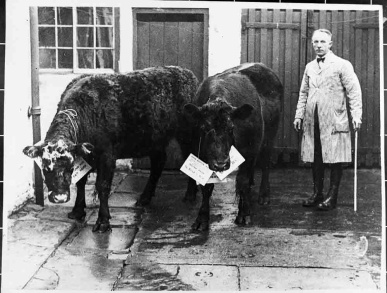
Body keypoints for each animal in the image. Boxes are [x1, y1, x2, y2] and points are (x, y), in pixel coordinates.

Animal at [23, 66, 199, 233]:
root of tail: (186, 73)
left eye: (70, 167)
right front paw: (77, 211)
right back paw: (145, 197)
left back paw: (190, 195)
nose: (60, 197)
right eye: (45, 168)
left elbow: (103, 186)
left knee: (190, 158)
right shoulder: (84, 156)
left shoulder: (107, 155)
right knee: (158, 162)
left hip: (187, 134)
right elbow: (80, 182)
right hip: (155, 139)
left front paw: (103, 221)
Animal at [183, 62, 284, 229]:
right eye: (204, 128)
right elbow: (207, 187)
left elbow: (242, 181)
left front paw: (244, 214)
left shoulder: (250, 150)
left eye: (231, 128)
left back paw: (264, 195)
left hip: (270, 137)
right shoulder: (201, 152)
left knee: (265, 164)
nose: (221, 164)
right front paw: (202, 218)